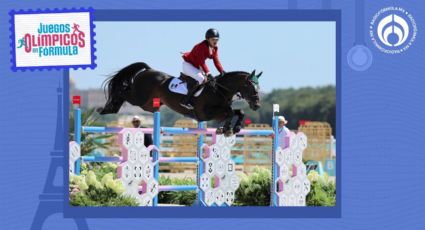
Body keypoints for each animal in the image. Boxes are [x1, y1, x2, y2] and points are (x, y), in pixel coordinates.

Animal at [98, 62, 262, 136]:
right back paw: (106, 109)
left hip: (148, 104)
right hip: (138, 97)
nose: (257, 105)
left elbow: (238, 111)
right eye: (249, 86)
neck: (219, 90)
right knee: (122, 91)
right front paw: (227, 129)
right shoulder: (205, 114)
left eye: (258, 86)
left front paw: (236, 128)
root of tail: (147, 70)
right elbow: (230, 111)